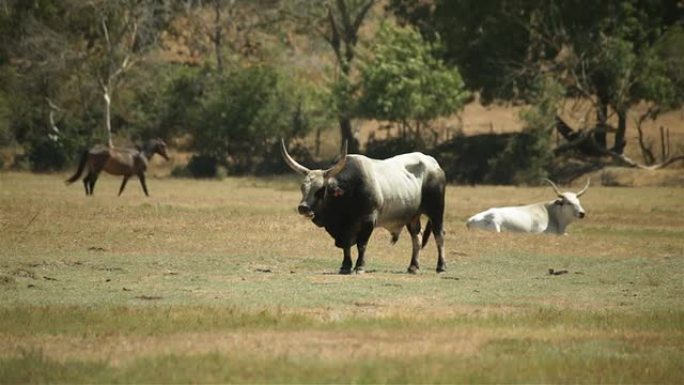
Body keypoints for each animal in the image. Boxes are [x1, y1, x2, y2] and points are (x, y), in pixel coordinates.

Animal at [280, 140, 446, 274]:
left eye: (321, 190)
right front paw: (345, 266)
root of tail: (432, 163)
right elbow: (346, 247)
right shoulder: (345, 229)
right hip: (413, 216)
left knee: (439, 235)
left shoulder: (368, 221)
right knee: (417, 238)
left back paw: (441, 266)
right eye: (303, 188)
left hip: (436, 210)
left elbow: (361, 245)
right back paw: (413, 266)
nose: (303, 207)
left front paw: (359, 267)